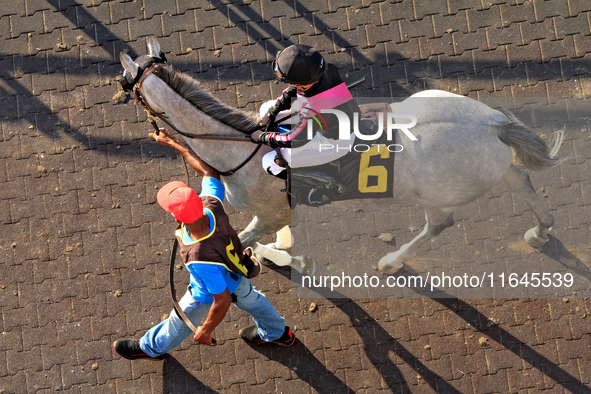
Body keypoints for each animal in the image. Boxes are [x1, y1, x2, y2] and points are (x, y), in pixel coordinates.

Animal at [121, 38, 564, 276]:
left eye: (127, 82)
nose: (117, 96)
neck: (240, 148)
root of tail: (491, 123)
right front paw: (288, 255)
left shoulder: (271, 213)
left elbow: (249, 242)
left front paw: (290, 259)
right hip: (489, 162)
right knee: (521, 180)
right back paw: (541, 230)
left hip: (439, 192)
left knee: (440, 224)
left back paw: (392, 261)